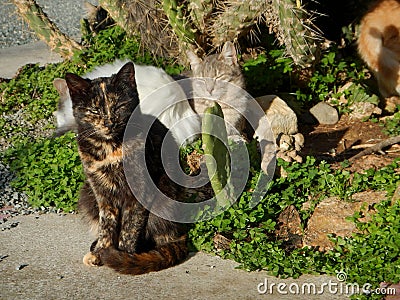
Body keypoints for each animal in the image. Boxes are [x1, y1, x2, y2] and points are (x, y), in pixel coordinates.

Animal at [66, 62, 188, 276]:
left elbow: (130, 227)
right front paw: (100, 251)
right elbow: (106, 224)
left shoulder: (139, 190)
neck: (110, 148)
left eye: (119, 106)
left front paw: (121, 255)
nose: (109, 122)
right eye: (94, 111)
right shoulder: (102, 193)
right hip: (87, 194)